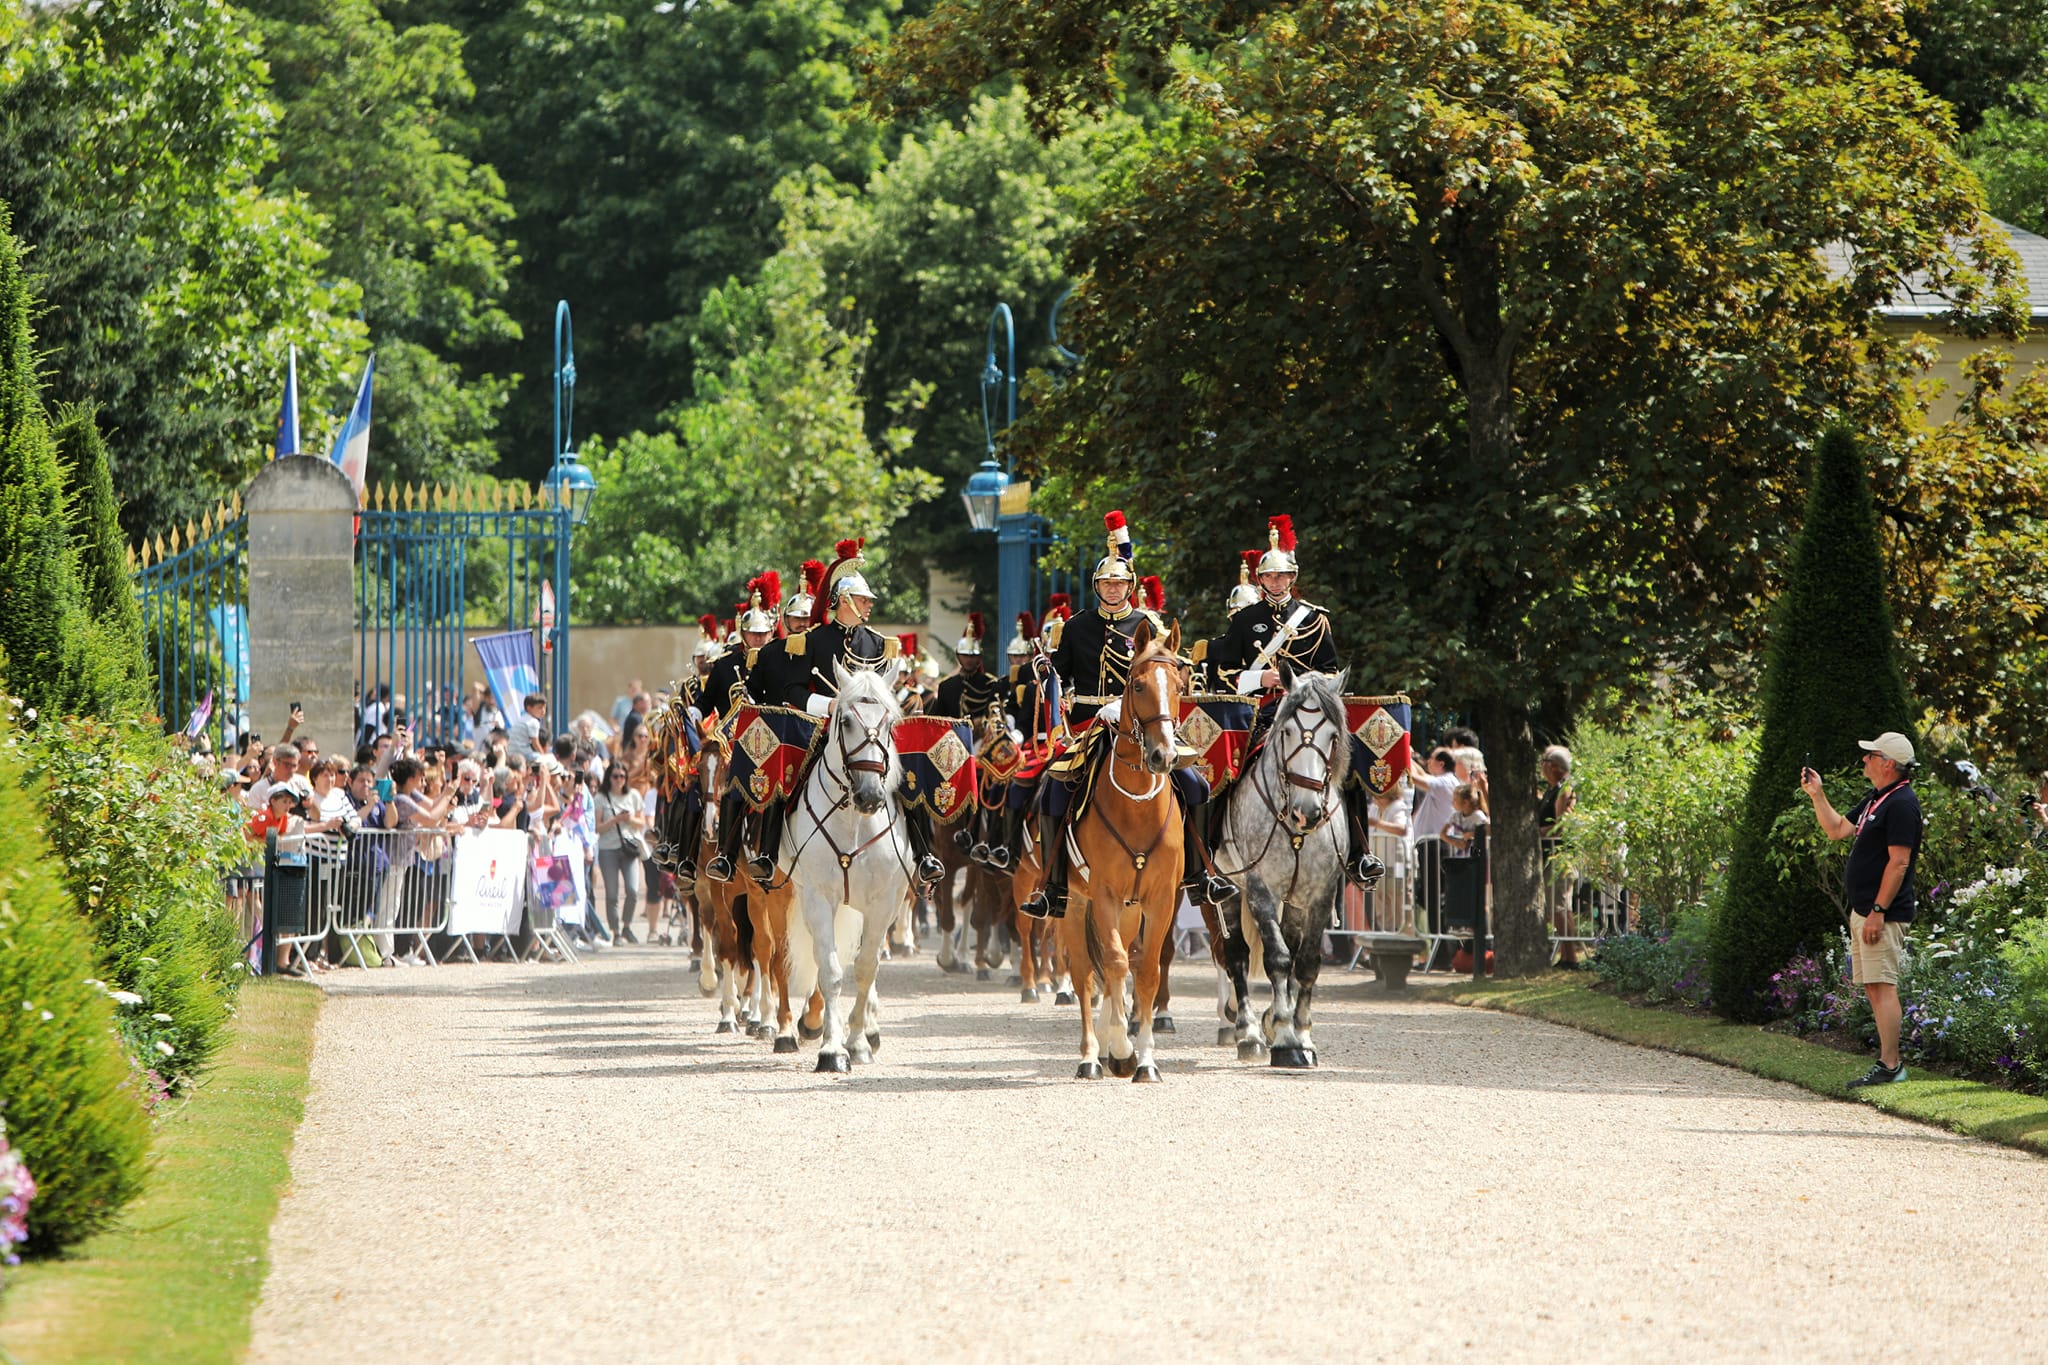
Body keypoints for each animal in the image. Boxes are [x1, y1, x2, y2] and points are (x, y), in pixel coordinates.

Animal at [778, 667, 917, 1072]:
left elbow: (866, 968)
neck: (854, 820)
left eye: (889, 722)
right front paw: (831, 1049)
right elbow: (830, 971)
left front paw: (856, 1043)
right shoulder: (818, 898)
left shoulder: (884, 901)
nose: (870, 795)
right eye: (846, 721)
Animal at [1056, 618, 1187, 1080]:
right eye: (1138, 685)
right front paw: (1119, 1044)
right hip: (1077, 903)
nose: (1163, 756)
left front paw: (1144, 1058)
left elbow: (1144, 970)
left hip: (1130, 910)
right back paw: (1092, 1055)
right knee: (1085, 974)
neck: (1136, 807)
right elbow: (1112, 964)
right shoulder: (1105, 894)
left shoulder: (1160, 899)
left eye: (1180, 685)